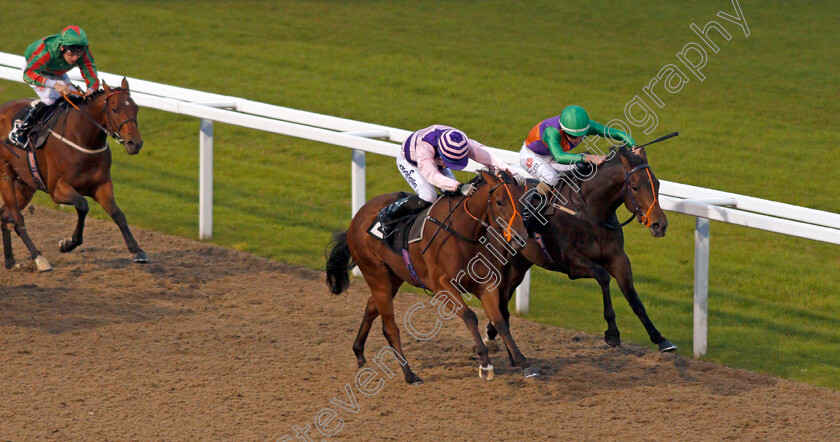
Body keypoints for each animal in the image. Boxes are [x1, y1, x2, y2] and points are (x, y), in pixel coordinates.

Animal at [0, 78, 148, 272]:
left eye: (136, 108)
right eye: (115, 109)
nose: (135, 143)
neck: (82, 137)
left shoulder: (102, 185)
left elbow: (118, 214)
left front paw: (137, 250)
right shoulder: (57, 189)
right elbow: (83, 205)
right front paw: (68, 243)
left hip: (24, 186)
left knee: (5, 214)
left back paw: (10, 261)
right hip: (6, 176)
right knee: (17, 218)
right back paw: (39, 258)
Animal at [324, 169, 536, 384]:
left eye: (520, 202)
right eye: (499, 201)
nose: (520, 238)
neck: (463, 231)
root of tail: (357, 217)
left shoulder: (485, 285)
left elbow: (499, 321)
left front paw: (523, 362)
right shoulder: (442, 286)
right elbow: (470, 316)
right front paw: (485, 363)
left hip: (394, 278)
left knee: (371, 307)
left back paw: (359, 352)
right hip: (376, 275)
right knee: (391, 328)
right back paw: (409, 374)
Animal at [482, 147, 680, 358]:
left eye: (657, 184)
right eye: (634, 187)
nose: (660, 225)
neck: (590, 213)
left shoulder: (618, 258)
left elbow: (632, 296)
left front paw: (660, 339)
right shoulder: (570, 262)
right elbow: (603, 277)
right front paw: (612, 333)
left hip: (520, 262)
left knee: (506, 293)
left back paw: (491, 334)